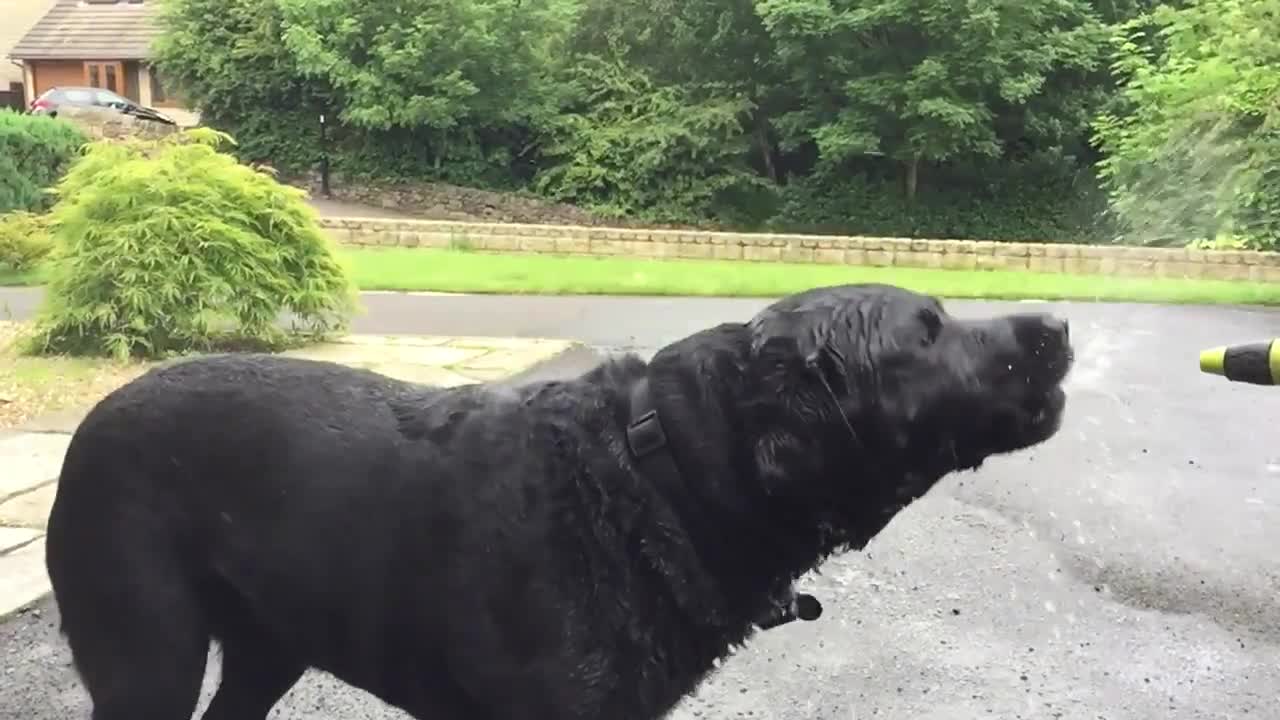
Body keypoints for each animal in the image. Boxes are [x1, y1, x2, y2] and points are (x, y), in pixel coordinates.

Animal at [45, 281, 1075, 717]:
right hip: (148, 657)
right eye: (928, 332)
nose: (1062, 325)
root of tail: (91, 419)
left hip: (267, 649)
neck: (658, 475)